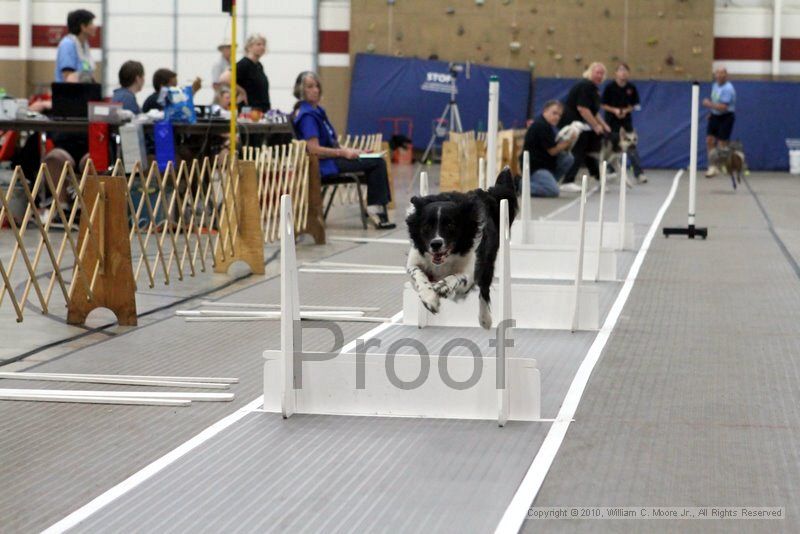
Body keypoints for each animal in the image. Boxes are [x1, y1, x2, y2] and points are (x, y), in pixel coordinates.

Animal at [406, 166, 520, 330]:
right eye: (426, 226)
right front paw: (430, 299)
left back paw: (485, 319)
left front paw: (443, 286)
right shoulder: (415, 260)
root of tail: (486, 195)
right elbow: (418, 274)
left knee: (484, 291)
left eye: (450, 225)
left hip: (487, 263)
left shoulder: (470, 272)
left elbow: (458, 277)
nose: (436, 244)